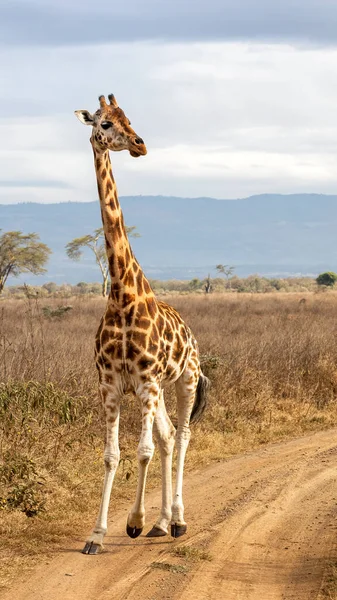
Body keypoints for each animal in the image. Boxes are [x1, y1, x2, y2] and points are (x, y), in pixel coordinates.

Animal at [75, 95, 209, 556]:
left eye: (130, 119)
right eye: (104, 123)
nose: (139, 144)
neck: (122, 295)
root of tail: (192, 333)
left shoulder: (147, 382)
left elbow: (144, 450)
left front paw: (133, 522)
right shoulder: (111, 384)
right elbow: (112, 454)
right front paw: (97, 535)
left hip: (184, 380)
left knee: (181, 436)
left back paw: (178, 520)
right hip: (158, 390)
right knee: (168, 436)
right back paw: (163, 521)